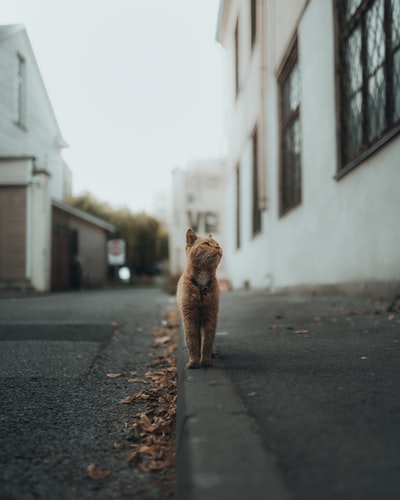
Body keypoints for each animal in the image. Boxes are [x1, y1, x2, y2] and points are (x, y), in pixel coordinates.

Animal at [177, 229, 223, 370]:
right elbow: (191, 341)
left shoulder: (211, 315)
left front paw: (206, 360)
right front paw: (193, 362)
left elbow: (207, 340)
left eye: (217, 244)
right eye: (206, 244)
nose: (218, 247)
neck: (202, 286)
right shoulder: (189, 317)